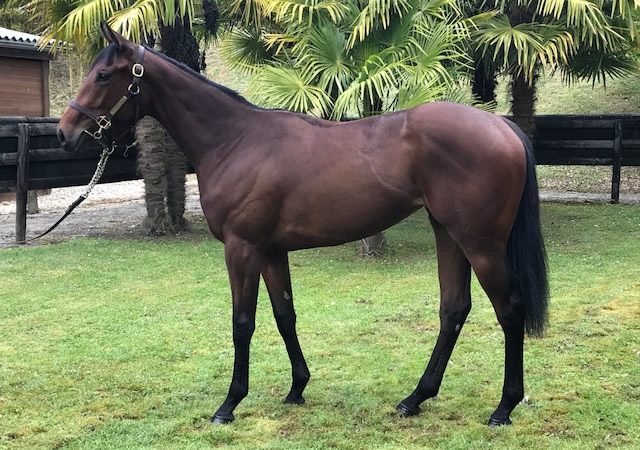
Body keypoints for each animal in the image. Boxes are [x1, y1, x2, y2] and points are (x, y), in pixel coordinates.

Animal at [57, 24, 548, 427]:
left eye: (105, 75)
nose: (66, 131)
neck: (235, 140)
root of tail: (503, 128)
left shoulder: (241, 248)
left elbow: (243, 322)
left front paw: (229, 404)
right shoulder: (272, 251)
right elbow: (284, 315)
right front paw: (297, 388)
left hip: (481, 244)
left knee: (510, 311)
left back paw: (504, 407)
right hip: (448, 233)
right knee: (453, 310)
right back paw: (415, 398)